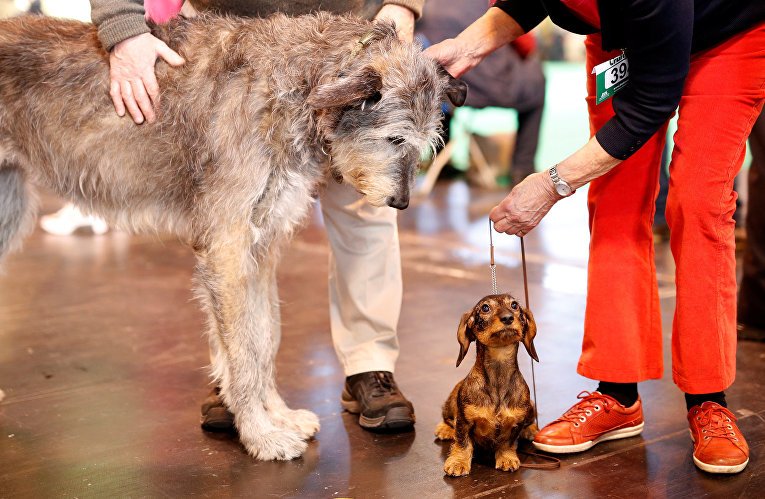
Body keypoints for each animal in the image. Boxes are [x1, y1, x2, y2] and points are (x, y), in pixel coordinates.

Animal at [0, 12, 466, 460]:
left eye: (428, 141)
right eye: (394, 137)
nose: (401, 203)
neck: (297, 86)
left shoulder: (260, 248)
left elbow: (263, 339)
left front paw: (278, 417)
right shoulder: (227, 249)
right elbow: (243, 349)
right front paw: (261, 436)